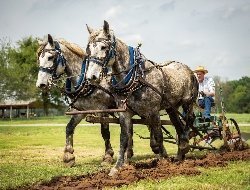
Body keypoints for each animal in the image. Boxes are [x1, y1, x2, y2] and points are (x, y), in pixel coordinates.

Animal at [35, 34, 116, 166]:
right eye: (39, 59)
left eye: (50, 57)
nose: (40, 84)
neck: (87, 82)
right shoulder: (79, 111)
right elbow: (69, 128)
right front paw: (69, 156)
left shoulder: (103, 110)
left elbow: (105, 133)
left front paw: (108, 156)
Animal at [85, 21, 198, 175]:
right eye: (89, 49)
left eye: (104, 47)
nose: (91, 76)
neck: (136, 78)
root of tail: (189, 70)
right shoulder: (124, 113)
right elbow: (124, 138)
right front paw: (117, 167)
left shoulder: (154, 112)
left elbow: (158, 135)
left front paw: (164, 161)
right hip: (171, 107)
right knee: (178, 126)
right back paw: (180, 155)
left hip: (188, 101)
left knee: (189, 119)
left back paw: (185, 143)